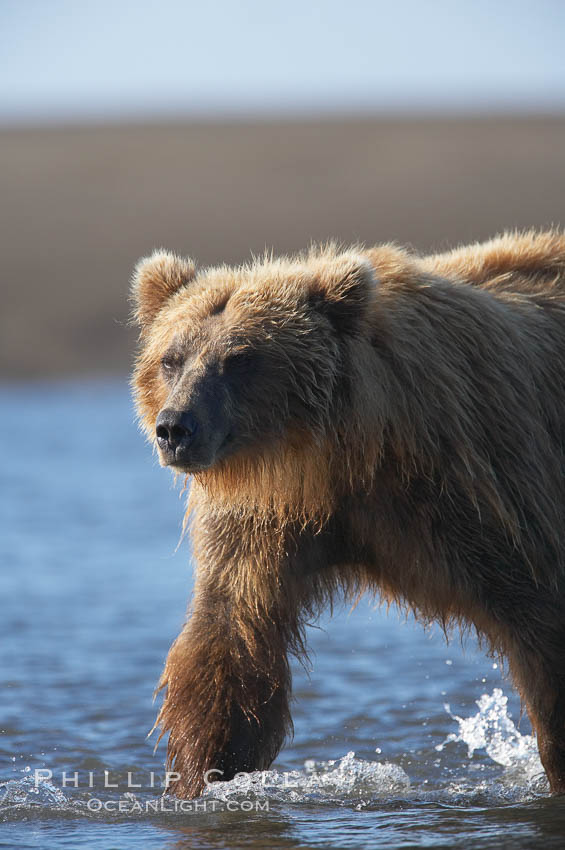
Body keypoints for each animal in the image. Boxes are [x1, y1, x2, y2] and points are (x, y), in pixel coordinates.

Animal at [130, 230, 564, 796]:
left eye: (240, 357)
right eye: (172, 357)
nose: (175, 428)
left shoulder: (478, 492)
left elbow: (539, 624)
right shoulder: (266, 523)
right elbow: (232, 641)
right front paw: (202, 777)